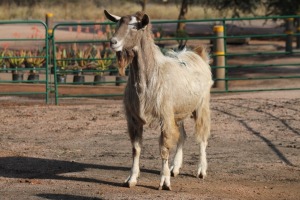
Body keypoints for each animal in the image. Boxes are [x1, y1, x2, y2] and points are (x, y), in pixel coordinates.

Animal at [105, 9, 213, 191]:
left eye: (134, 26)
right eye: (117, 24)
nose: (113, 42)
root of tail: (198, 55)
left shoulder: (164, 116)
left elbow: (164, 148)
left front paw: (165, 182)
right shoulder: (134, 118)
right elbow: (136, 148)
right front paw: (131, 179)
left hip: (201, 105)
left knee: (202, 136)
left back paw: (201, 170)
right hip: (178, 112)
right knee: (182, 136)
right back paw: (175, 168)